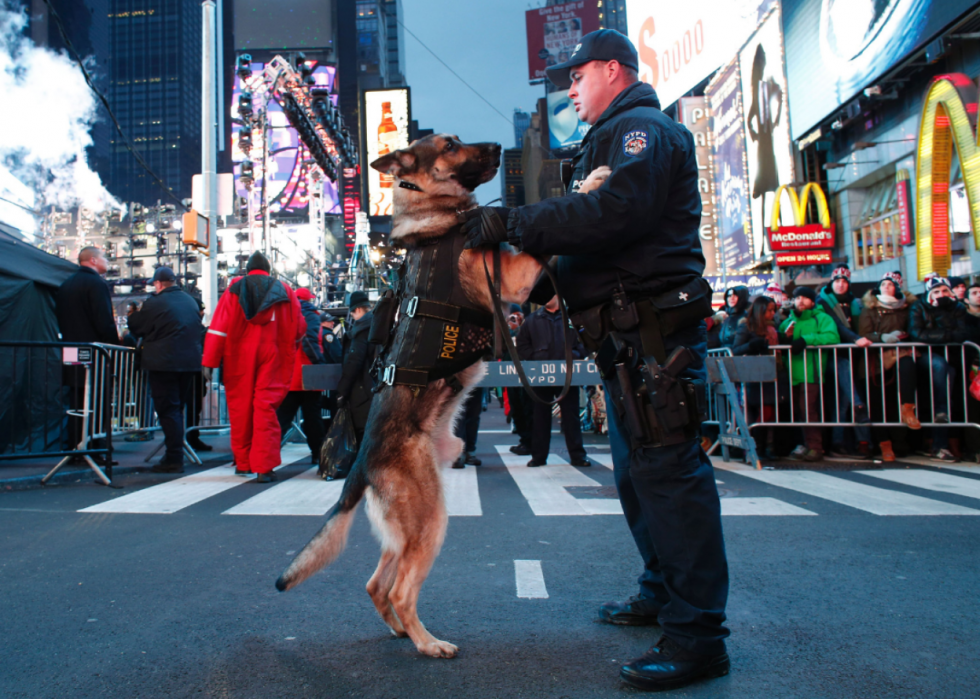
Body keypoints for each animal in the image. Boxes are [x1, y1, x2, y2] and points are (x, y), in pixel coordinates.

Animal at [276, 134, 544, 660]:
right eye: (451, 145)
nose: (496, 146)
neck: (435, 218)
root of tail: (359, 464)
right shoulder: (515, 280)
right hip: (429, 519)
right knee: (399, 589)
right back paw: (427, 643)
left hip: (406, 530)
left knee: (376, 584)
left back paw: (402, 630)